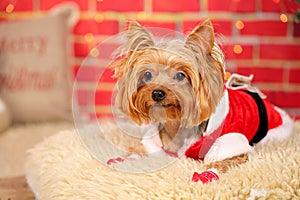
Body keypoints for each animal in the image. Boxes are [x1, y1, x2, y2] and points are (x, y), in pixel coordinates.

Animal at [110, 19, 292, 173]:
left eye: (180, 75)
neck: (176, 123)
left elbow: (227, 159)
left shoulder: (230, 145)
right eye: (147, 74)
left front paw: (210, 172)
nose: (157, 93)